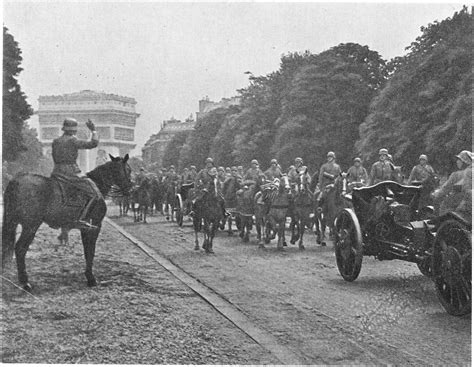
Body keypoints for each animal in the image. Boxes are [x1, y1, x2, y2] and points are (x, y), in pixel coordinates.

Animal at [2, 155, 131, 290]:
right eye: (129, 170)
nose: (130, 188)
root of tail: (16, 180)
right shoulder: (95, 226)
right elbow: (90, 251)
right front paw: (91, 278)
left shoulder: (86, 228)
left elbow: (87, 250)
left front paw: (88, 275)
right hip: (30, 226)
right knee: (20, 248)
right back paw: (25, 282)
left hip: (13, 222)